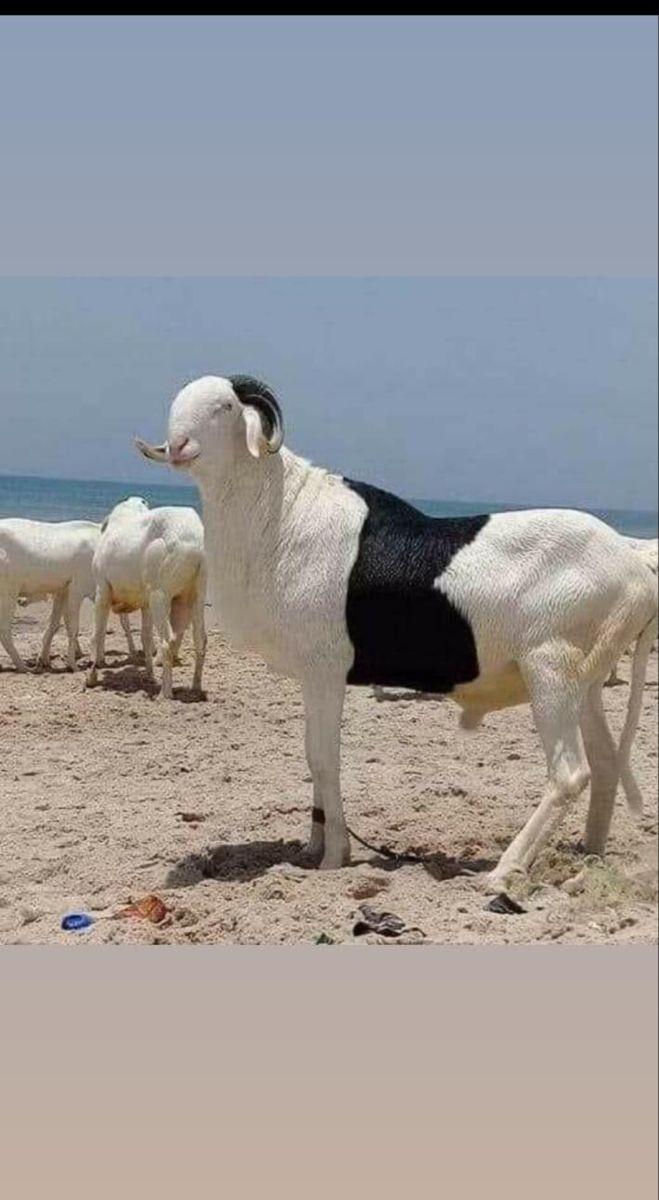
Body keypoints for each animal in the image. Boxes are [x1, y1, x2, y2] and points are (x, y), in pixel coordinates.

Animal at [0, 517, 135, 672]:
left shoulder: (63, 591)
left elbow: (54, 624)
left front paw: (44, 660)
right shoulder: (77, 589)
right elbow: (73, 627)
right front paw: (72, 663)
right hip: (8, 591)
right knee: (4, 630)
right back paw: (23, 666)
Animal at [86, 498, 207, 699]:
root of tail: (196, 542)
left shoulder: (102, 591)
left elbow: (97, 635)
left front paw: (91, 677)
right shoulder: (145, 604)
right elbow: (146, 638)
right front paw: (149, 675)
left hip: (160, 595)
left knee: (167, 642)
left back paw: (165, 693)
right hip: (195, 596)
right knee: (201, 641)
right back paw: (195, 687)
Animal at [136, 375, 658, 893]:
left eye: (223, 406)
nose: (178, 447)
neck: (283, 514)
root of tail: (635, 571)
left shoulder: (326, 671)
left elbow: (324, 757)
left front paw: (334, 857)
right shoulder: (312, 675)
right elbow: (312, 756)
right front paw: (311, 848)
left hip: (550, 667)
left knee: (570, 773)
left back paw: (505, 872)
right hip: (584, 680)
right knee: (606, 764)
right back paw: (585, 859)